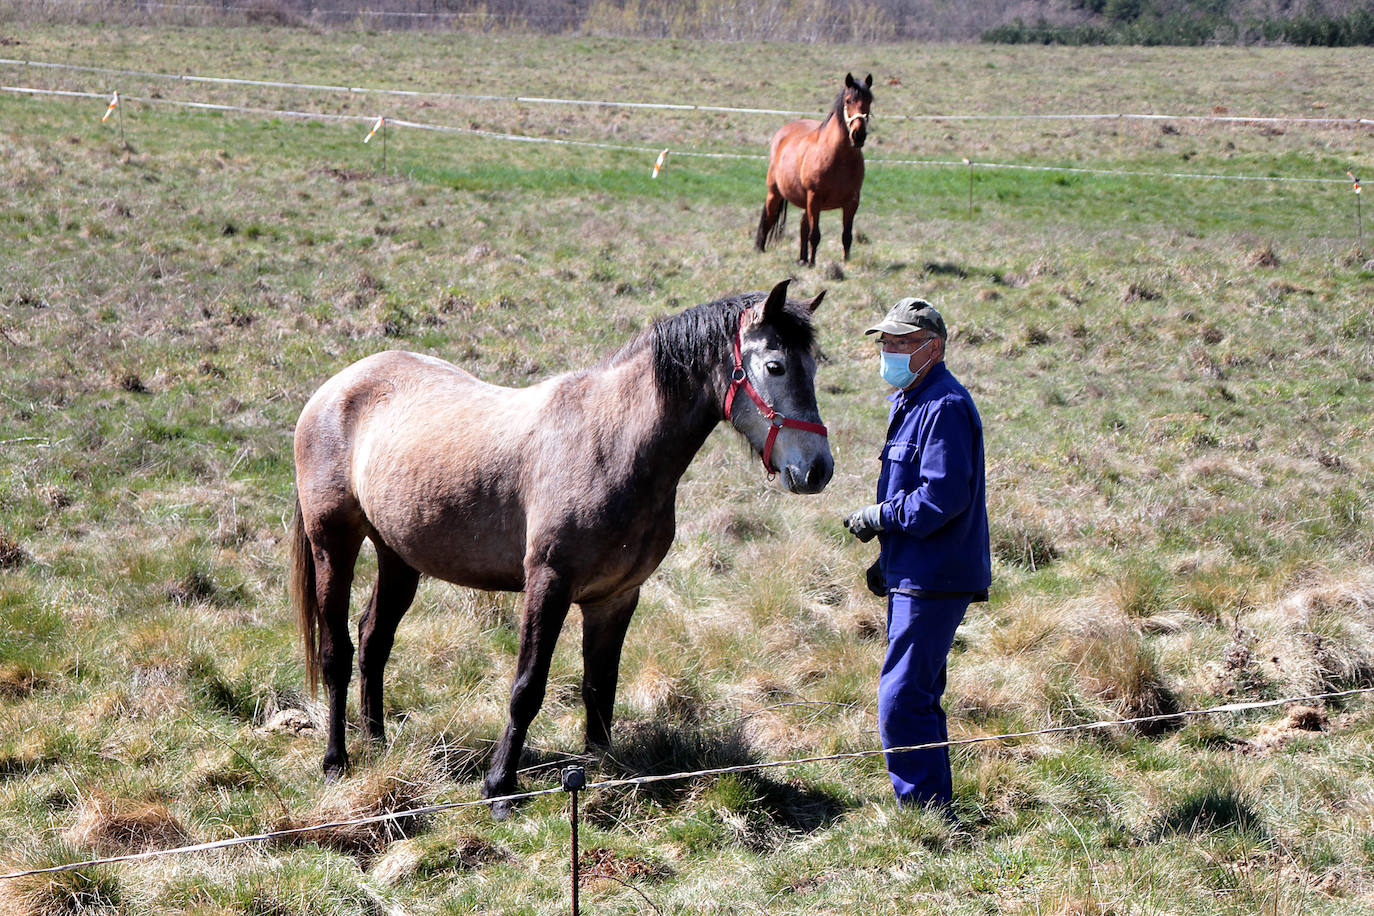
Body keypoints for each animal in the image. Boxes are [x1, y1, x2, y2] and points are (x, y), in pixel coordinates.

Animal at [289, 281, 829, 818]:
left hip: (398, 555)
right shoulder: (548, 585)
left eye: (814, 366)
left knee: (374, 640)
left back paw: (377, 744)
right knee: (338, 651)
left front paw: (600, 772)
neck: (611, 443)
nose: (817, 469)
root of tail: (335, 388)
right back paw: (336, 761)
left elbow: (599, 687)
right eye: (775, 366)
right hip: (333, 542)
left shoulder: (615, 597)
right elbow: (527, 688)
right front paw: (499, 788)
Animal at [758, 72, 873, 266]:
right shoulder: (814, 199)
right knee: (769, 216)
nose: (858, 135)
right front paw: (813, 264)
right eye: (848, 100)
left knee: (803, 225)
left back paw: (802, 259)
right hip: (776, 193)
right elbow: (815, 235)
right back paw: (760, 249)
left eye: (869, 100)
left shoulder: (852, 202)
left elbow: (846, 236)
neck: (838, 159)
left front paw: (846, 262)